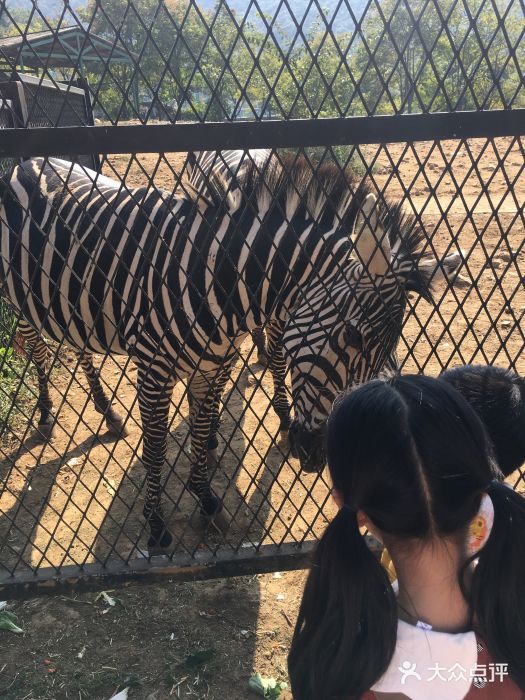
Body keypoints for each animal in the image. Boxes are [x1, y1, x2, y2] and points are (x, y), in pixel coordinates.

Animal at [0, 152, 458, 548]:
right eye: (354, 336)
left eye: (387, 348)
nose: (316, 458)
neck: (215, 275)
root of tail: (28, 161)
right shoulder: (153, 370)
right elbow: (156, 447)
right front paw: (156, 524)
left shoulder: (211, 365)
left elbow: (202, 431)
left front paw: (205, 498)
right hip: (19, 299)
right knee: (38, 349)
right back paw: (46, 413)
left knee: (78, 346)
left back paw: (107, 411)